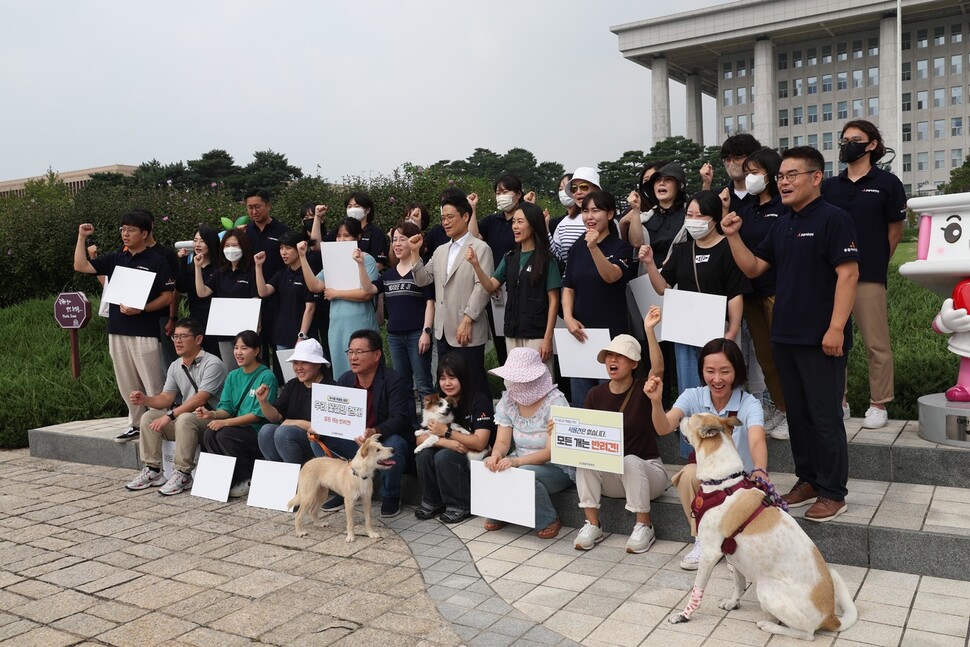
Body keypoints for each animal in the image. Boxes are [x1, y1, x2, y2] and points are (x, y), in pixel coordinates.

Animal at [664, 416, 856, 644]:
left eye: (691, 419)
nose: (679, 417)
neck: (723, 484)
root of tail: (830, 616)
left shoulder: (710, 554)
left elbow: (696, 591)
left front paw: (684, 615)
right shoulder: (733, 555)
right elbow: (738, 584)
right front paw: (733, 604)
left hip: (765, 588)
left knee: (806, 634)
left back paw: (769, 625)